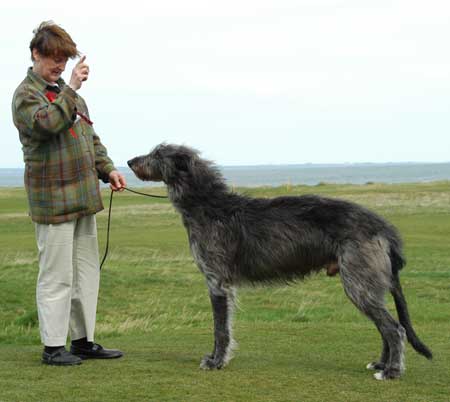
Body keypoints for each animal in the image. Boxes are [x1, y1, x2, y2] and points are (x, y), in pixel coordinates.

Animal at [127, 144, 432, 380]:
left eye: (156, 154)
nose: (130, 162)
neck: (207, 204)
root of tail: (384, 228)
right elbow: (221, 328)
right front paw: (215, 358)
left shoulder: (217, 282)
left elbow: (220, 329)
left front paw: (216, 362)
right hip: (367, 283)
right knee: (385, 326)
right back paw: (381, 363)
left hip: (359, 281)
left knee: (394, 328)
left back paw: (392, 371)